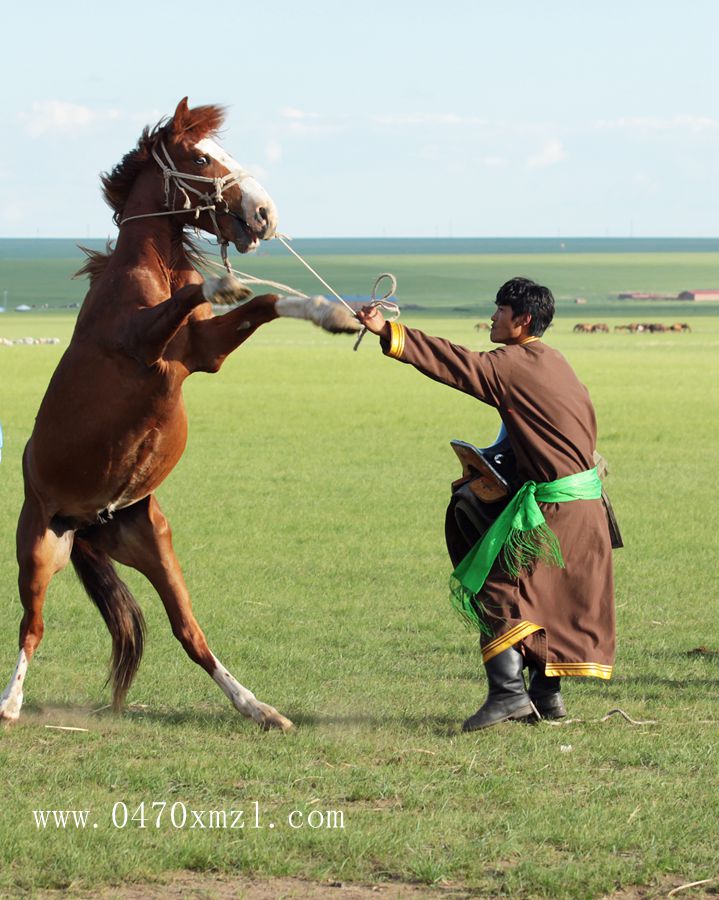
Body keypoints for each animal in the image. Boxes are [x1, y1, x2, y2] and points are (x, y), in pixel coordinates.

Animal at [0, 98, 360, 732]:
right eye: (199, 158)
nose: (264, 214)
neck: (151, 270)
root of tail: (90, 522)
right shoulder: (143, 345)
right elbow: (205, 295)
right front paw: (224, 283)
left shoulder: (200, 354)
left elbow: (269, 302)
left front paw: (332, 314)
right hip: (39, 549)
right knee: (32, 627)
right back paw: (10, 704)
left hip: (155, 546)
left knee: (188, 631)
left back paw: (259, 708)